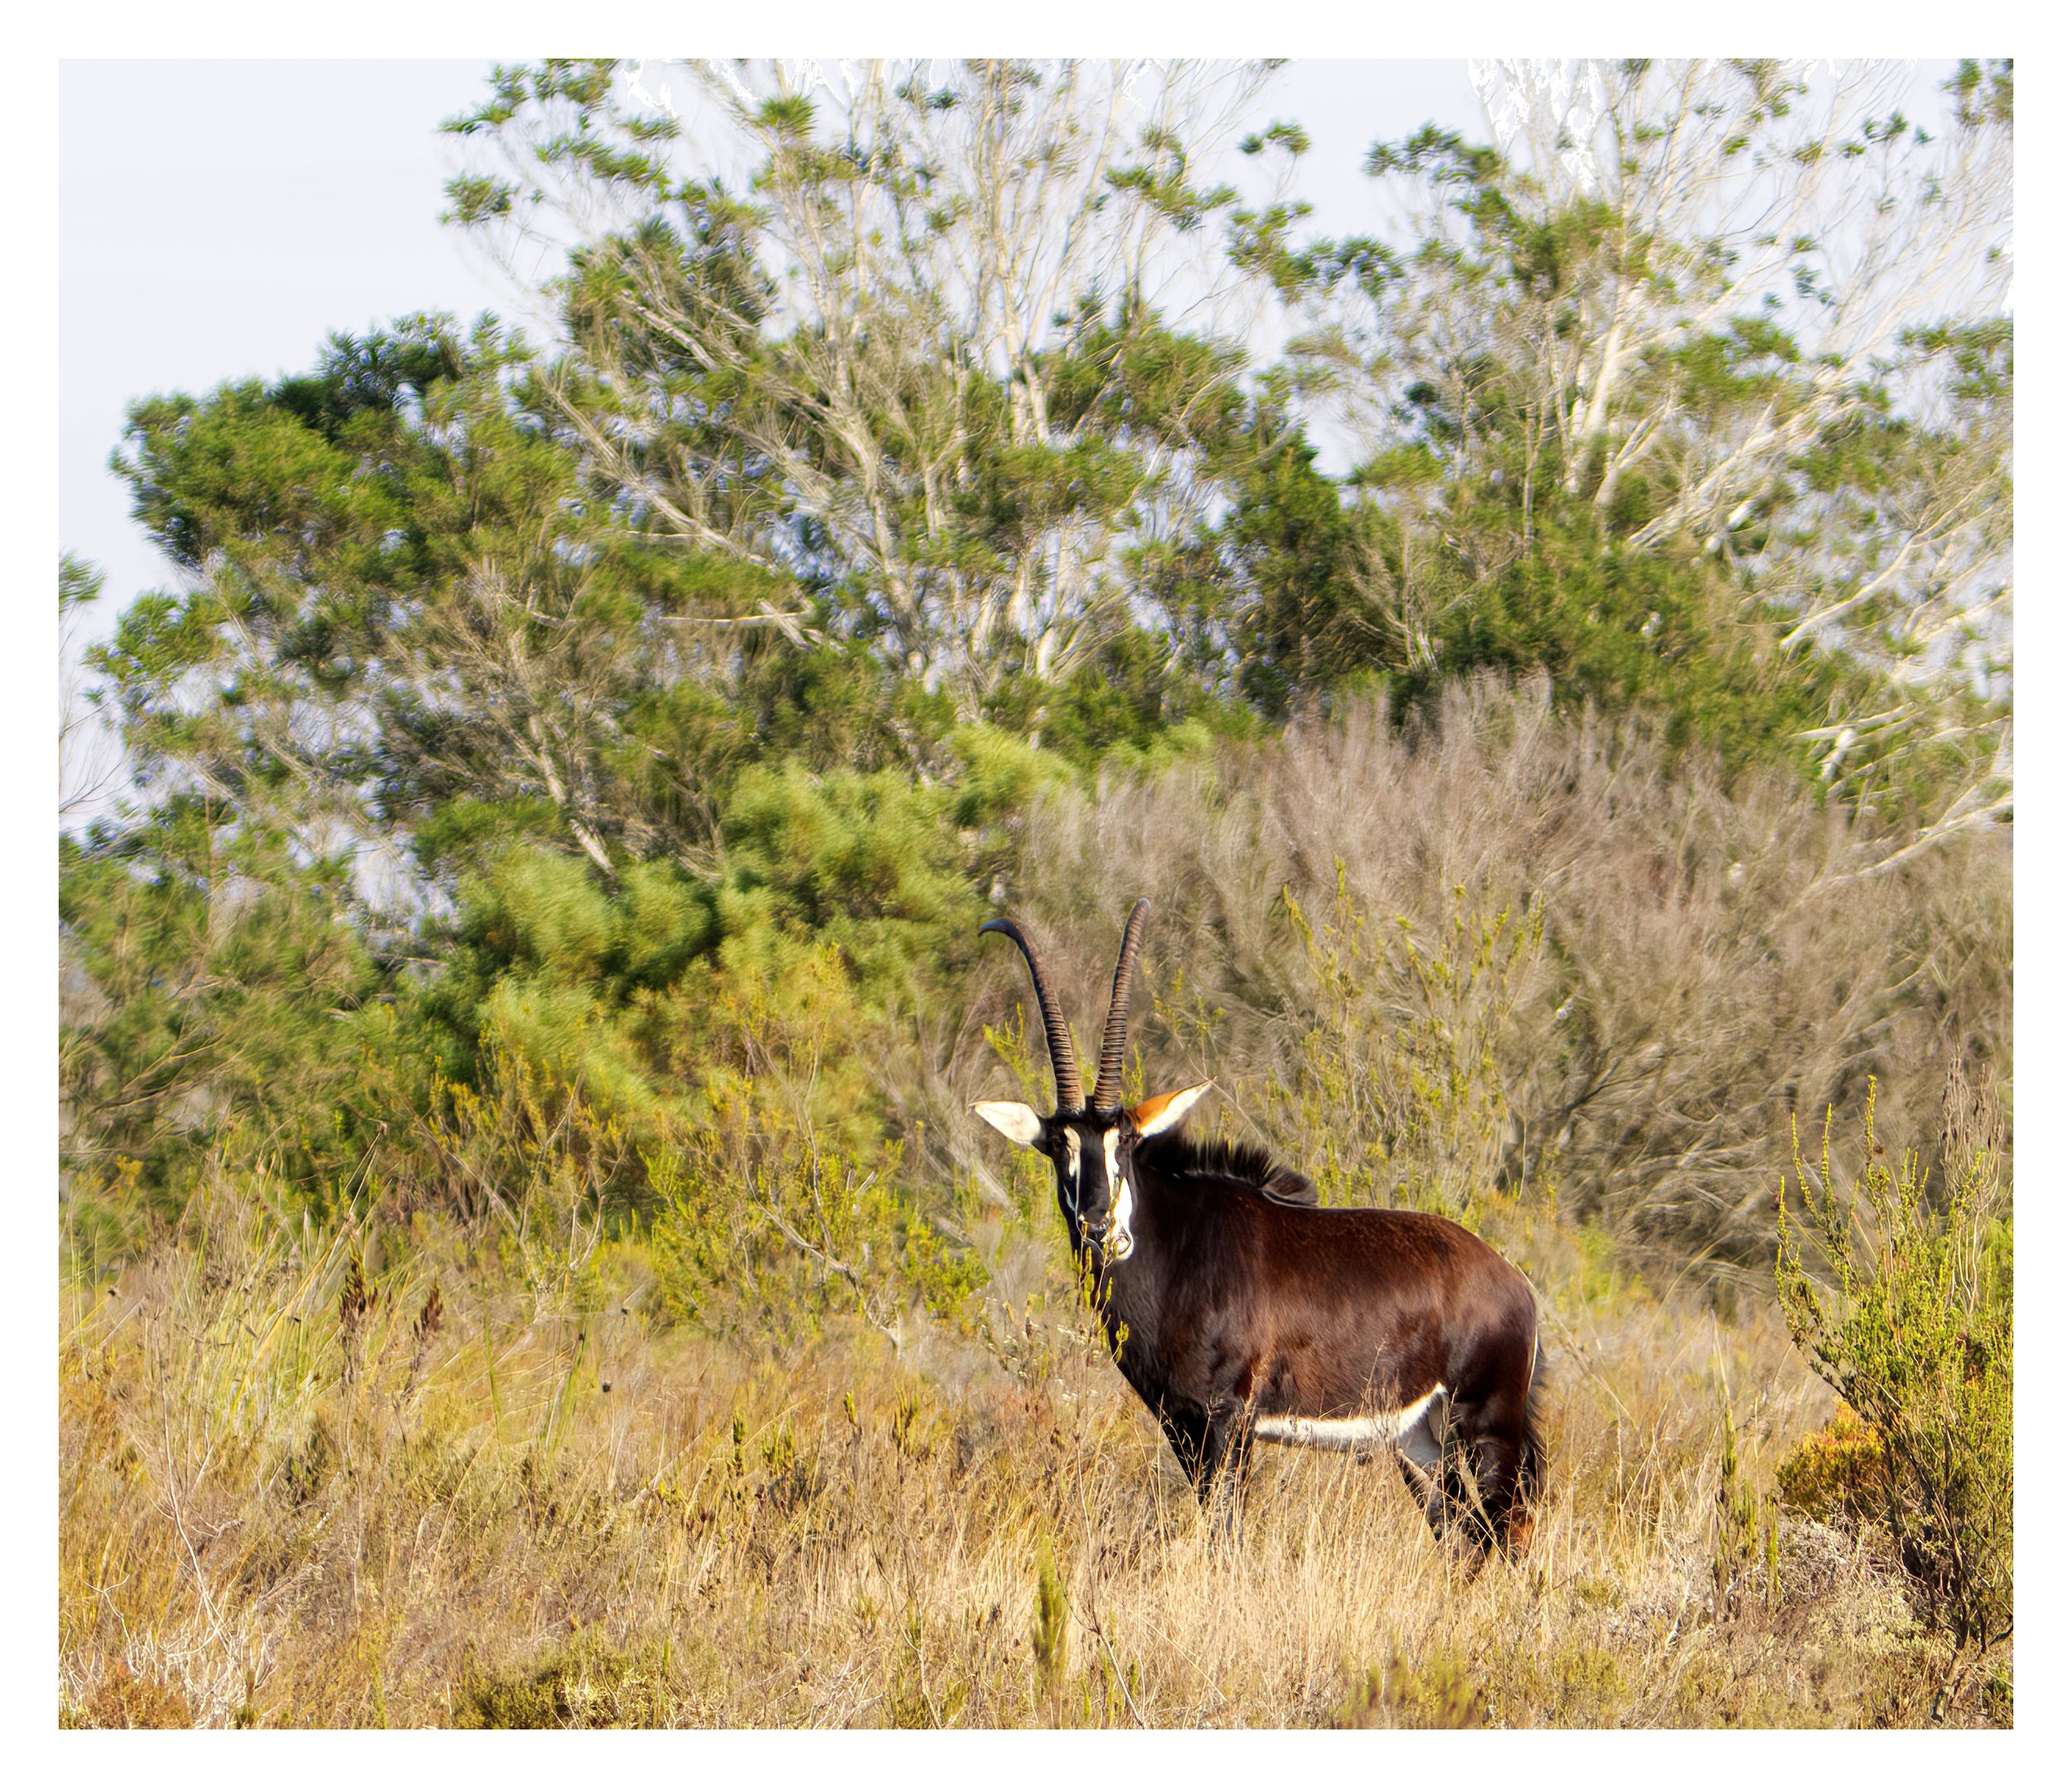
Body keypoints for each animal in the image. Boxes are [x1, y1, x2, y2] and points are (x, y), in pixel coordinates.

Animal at [973, 899, 1544, 1561]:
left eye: (1127, 1142)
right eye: (1057, 1147)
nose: (1099, 1226)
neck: (1177, 1246)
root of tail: (1518, 1285)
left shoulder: (1228, 1420)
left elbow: (1226, 1533)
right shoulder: (1181, 1423)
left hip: (1485, 1425)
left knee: (1507, 1527)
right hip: (1419, 1440)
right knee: (1462, 1536)